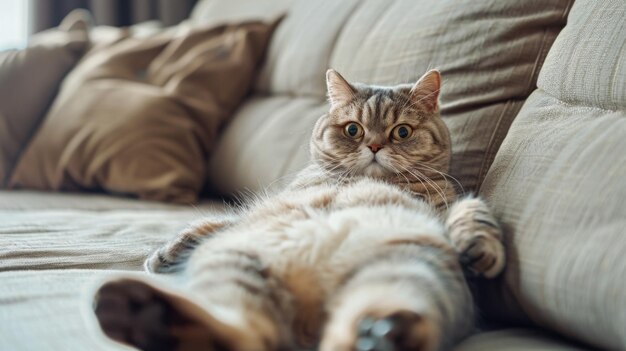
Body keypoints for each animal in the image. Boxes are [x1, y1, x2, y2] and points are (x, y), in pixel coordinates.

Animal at [91, 69, 502, 351]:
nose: (373, 146)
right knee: (248, 333)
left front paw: (481, 248)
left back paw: (384, 335)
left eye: (402, 132)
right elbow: (212, 223)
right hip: (239, 261)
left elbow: (473, 212)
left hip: (410, 268)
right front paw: (166, 254)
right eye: (353, 130)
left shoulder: (447, 208)